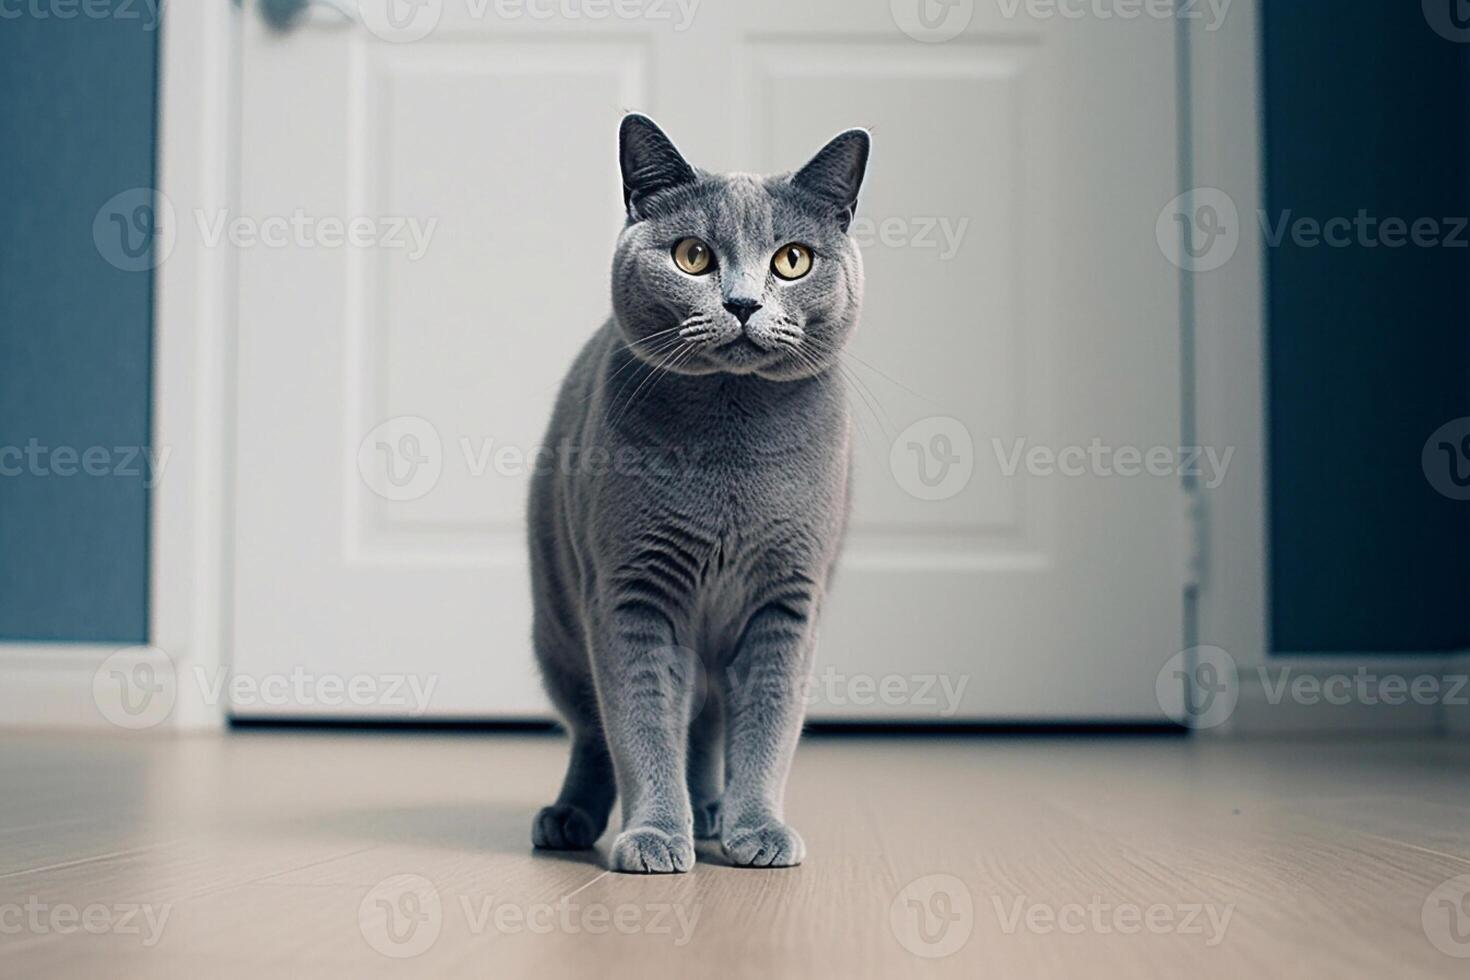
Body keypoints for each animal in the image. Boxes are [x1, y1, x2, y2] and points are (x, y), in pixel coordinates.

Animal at [532, 115, 864, 875]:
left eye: (793, 261)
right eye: (692, 257)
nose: (742, 303)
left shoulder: (788, 601)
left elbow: (767, 727)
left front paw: (757, 829)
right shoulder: (632, 593)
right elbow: (641, 724)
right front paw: (655, 834)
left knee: (710, 723)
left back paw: (712, 810)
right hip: (558, 627)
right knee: (593, 730)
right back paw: (570, 819)